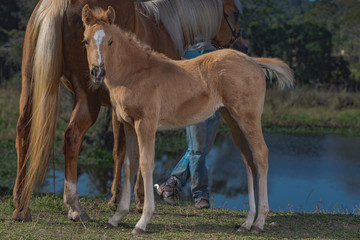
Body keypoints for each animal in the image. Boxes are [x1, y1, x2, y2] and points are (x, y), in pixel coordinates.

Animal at [14, 0, 245, 222]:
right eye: (235, 13)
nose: (240, 47)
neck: (165, 26)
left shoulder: (121, 111)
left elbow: (120, 152)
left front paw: (116, 199)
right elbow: (143, 153)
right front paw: (141, 201)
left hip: (29, 84)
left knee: (23, 132)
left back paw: (21, 205)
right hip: (88, 98)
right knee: (72, 138)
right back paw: (75, 208)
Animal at [82, 5, 296, 234]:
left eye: (110, 41)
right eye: (86, 41)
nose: (97, 72)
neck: (135, 73)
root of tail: (254, 61)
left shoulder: (146, 124)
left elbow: (146, 164)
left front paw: (142, 221)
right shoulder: (129, 126)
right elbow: (129, 167)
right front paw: (116, 217)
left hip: (248, 117)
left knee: (261, 155)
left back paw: (259, 222)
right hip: (233, 121)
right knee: (248, 160)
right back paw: (247, 222)